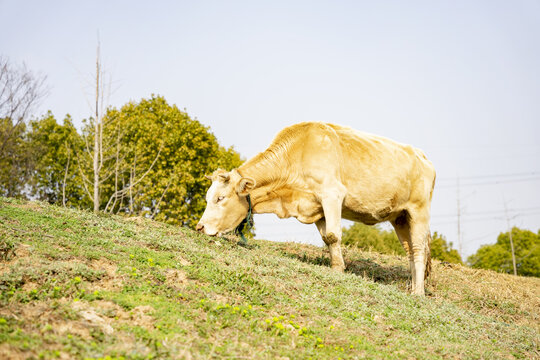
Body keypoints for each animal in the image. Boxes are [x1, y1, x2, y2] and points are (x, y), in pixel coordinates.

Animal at [196, 121, 436, 296]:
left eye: (220, 198)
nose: (200, 227)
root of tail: (423, 157)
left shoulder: (332, 194)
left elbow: (333, 235)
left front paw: (338, 270)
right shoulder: (316, 207)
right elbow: (326, 238)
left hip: (419, 211)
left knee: (419, 249)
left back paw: (418, 294)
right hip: (400, 217)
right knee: (411, 251)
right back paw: (414, 288)